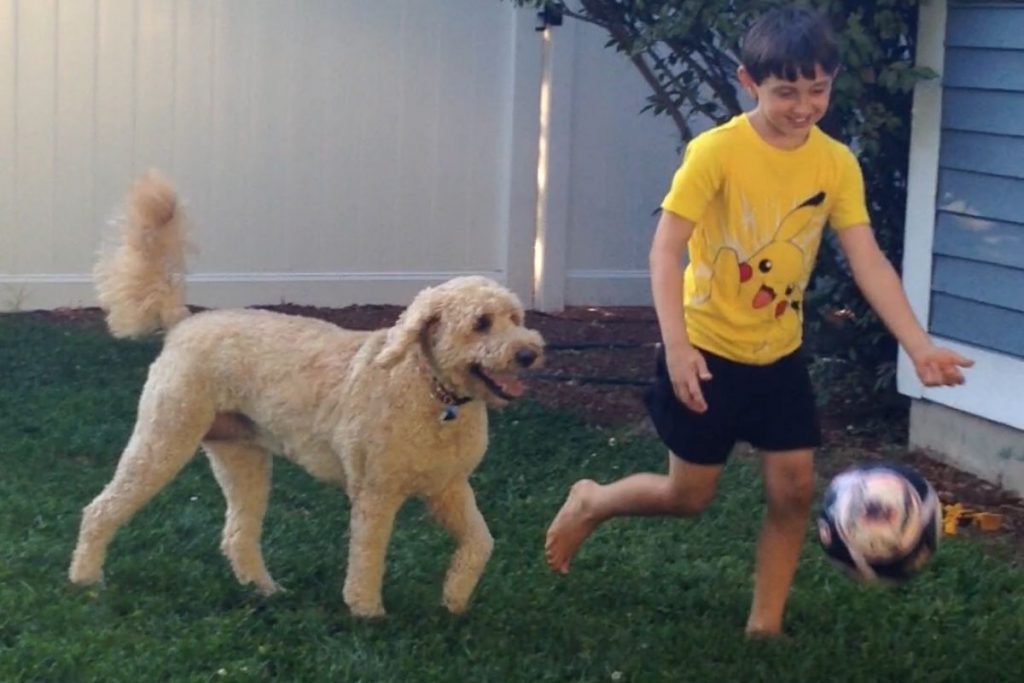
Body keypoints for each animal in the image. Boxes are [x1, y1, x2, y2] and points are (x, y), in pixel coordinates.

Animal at [66, 174, 544, 618]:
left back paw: (265, 590)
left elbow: (481, 542)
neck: (432, 393)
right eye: (481, 323)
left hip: (242, 458)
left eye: (515, 317)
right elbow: (367, 558)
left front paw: (455, 598)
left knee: (237, 534)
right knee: (101, 508)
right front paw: (367, 613)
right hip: (164, 437)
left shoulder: (448, 487)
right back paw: (85, 577)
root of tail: (183, 322)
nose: (530, 353)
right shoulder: (376, 493)